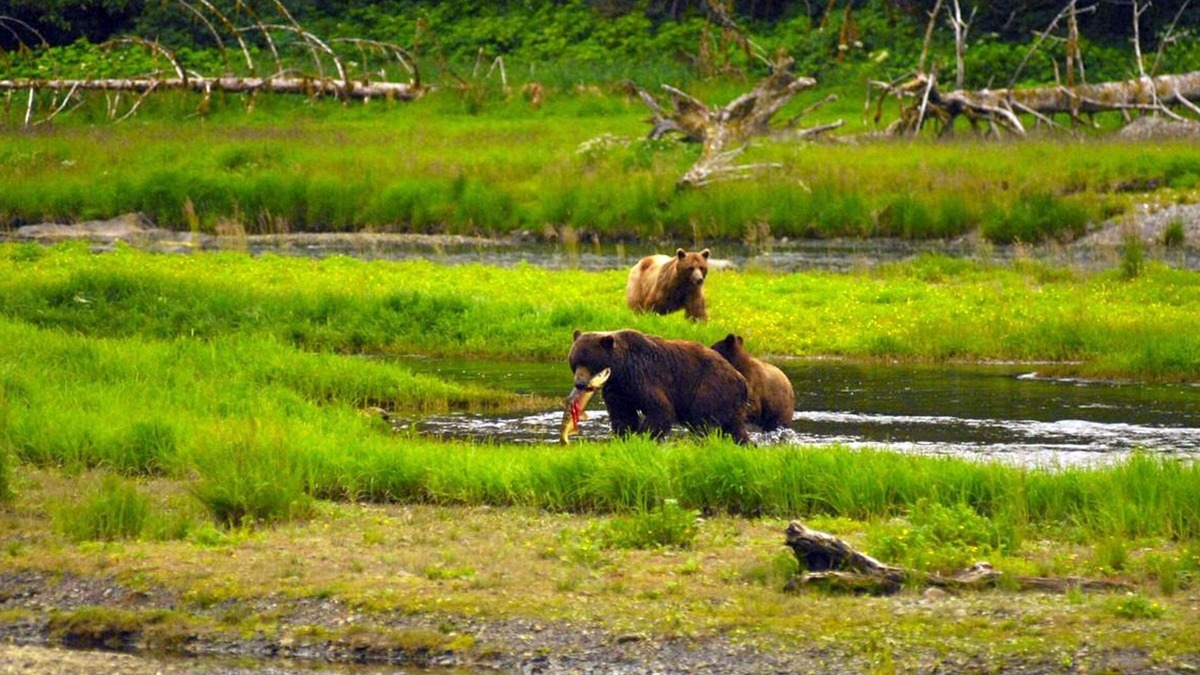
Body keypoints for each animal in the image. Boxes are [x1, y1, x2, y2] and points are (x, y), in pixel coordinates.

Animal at [564, 329, 748, 444]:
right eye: (574, 362)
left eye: (589, 363)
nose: (579, 384)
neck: (621, 370)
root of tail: (741, 379)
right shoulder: (618, 390)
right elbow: (623, 415)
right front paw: (624, 437)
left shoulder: (644, 376)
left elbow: (659, 408)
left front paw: (645, 437)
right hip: (730, 402)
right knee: (735, 428)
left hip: (710, 387)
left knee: (703, 420)